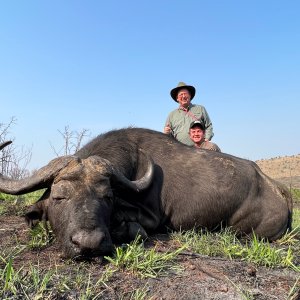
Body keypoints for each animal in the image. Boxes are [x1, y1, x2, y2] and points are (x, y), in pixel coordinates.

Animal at [0, 129, 292, 258]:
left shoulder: (152, 219)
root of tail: (278, 190)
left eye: (107, 197)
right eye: (59, 197)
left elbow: (137, 229)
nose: (89, 244)